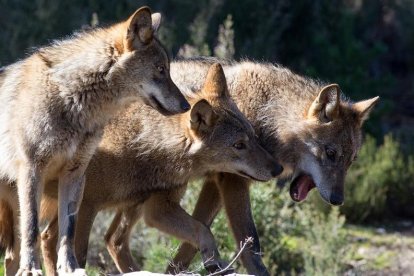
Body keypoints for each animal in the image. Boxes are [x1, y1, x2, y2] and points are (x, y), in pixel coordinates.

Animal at [0, 5, 188, 274]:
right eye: (161, 70)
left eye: (168, 70)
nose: (186, 106)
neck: (71, 98)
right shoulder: (32, 168)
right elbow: (32, 226)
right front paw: (32, 268)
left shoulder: (76, 173)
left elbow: (68, 230)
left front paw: (70, 267)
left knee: (9, 257)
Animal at [0, 64, 284, 274]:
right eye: (239, 145)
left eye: (253, 137)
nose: (278, 169)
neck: (141, 144)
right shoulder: (88, 207)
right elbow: (78, 256)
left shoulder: (157, 208)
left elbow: (202, 230)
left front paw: (214, 263)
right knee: (44, 242)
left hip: (126, 207)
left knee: (105, 240)